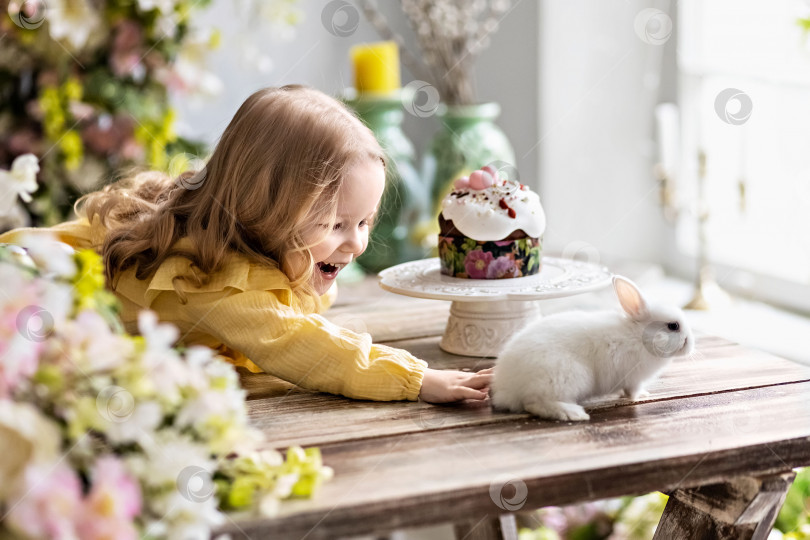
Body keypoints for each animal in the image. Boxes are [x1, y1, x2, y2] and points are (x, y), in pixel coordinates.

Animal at [490, 274, 692, 422]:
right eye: (673, 326)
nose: (690, 344)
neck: (640, 336)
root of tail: (506, 390)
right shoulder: (633, 377)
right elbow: (632, 391)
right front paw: (642, 396)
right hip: (566, 378)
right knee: (534, 403)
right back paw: (572, 413)